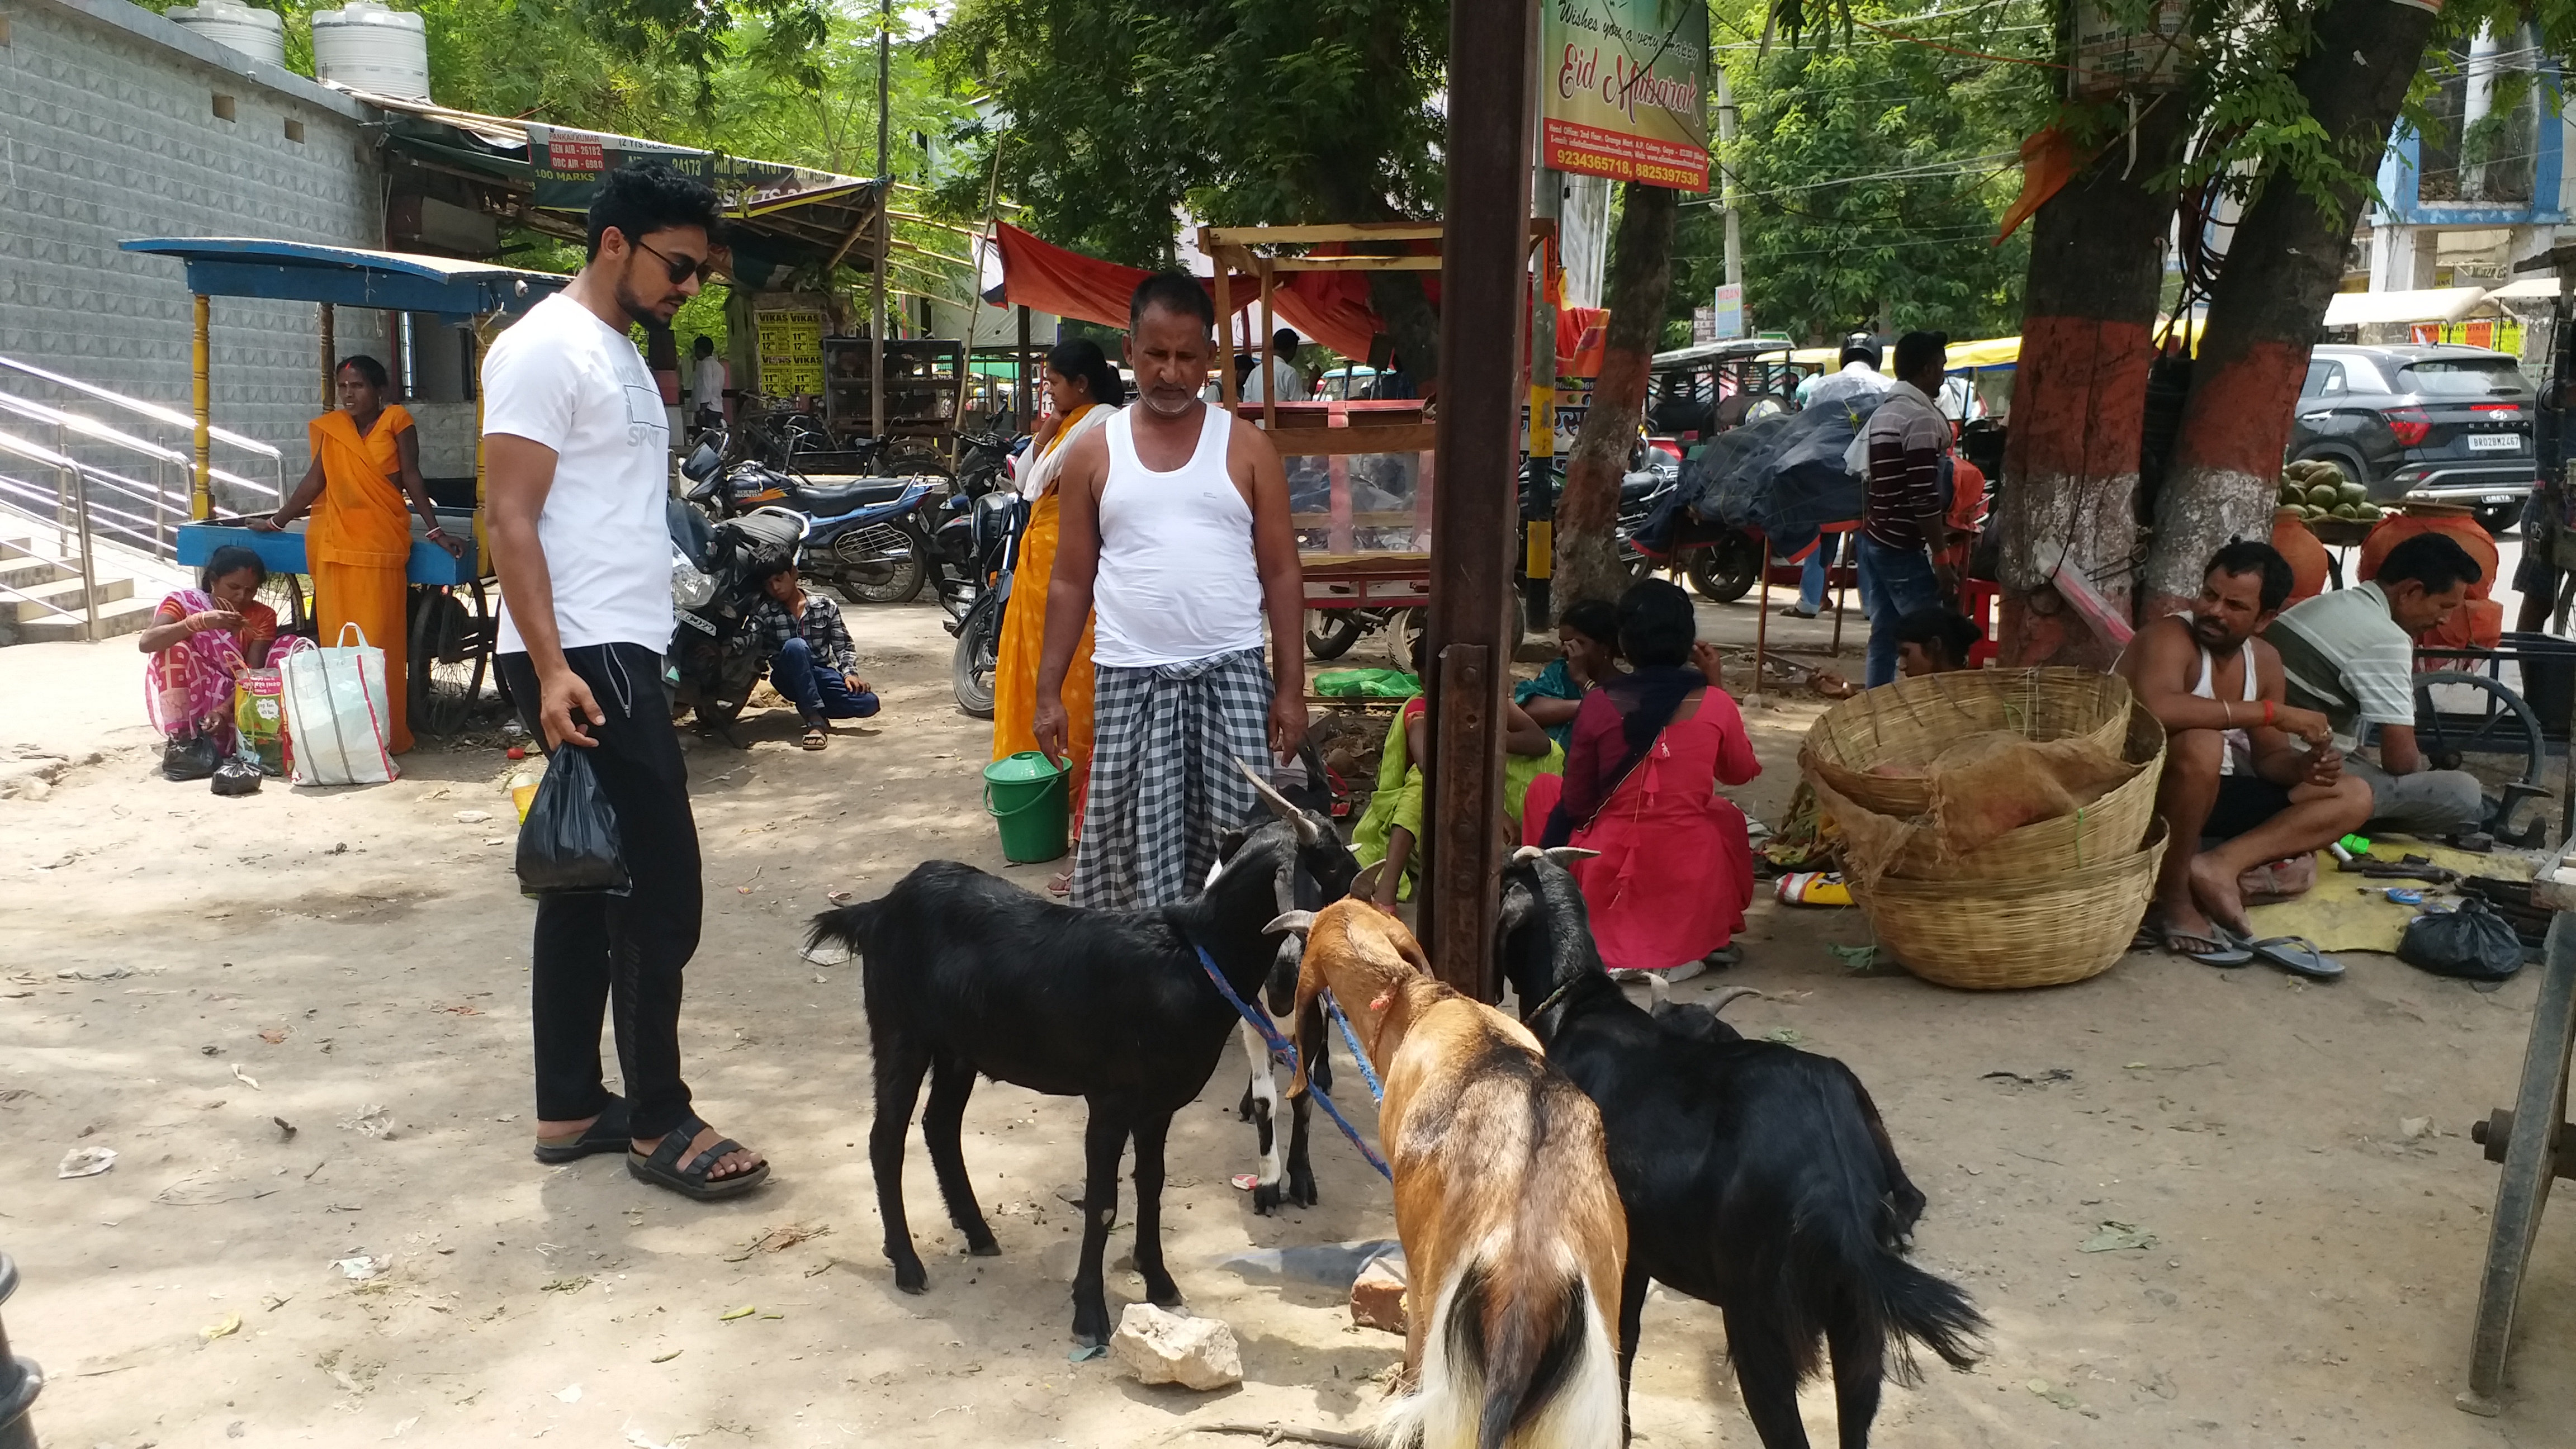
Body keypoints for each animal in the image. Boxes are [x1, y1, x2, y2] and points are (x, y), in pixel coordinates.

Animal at [808, 773, 1360, 1341]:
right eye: (1331, 862)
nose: (1362, 881)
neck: (1190, 955)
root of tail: (877, 909)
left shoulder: (1157, 1107)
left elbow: (1151, 1185)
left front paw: (1158, 1281)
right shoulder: (1109, 1102)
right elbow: (1102, 1204)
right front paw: (1090, 1314)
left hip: (959, 1049)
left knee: (939, 1125)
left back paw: (978, 1231)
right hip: (901, 1032)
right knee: (886, 1139)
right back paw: (906, 1262)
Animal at [1484, 845, 1978, 1443]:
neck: (1580, 1008)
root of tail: (1833, 1182)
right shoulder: (1638, 1253)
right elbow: (1628, 1336)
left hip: (1758, 1323)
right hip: (1857, 1331)